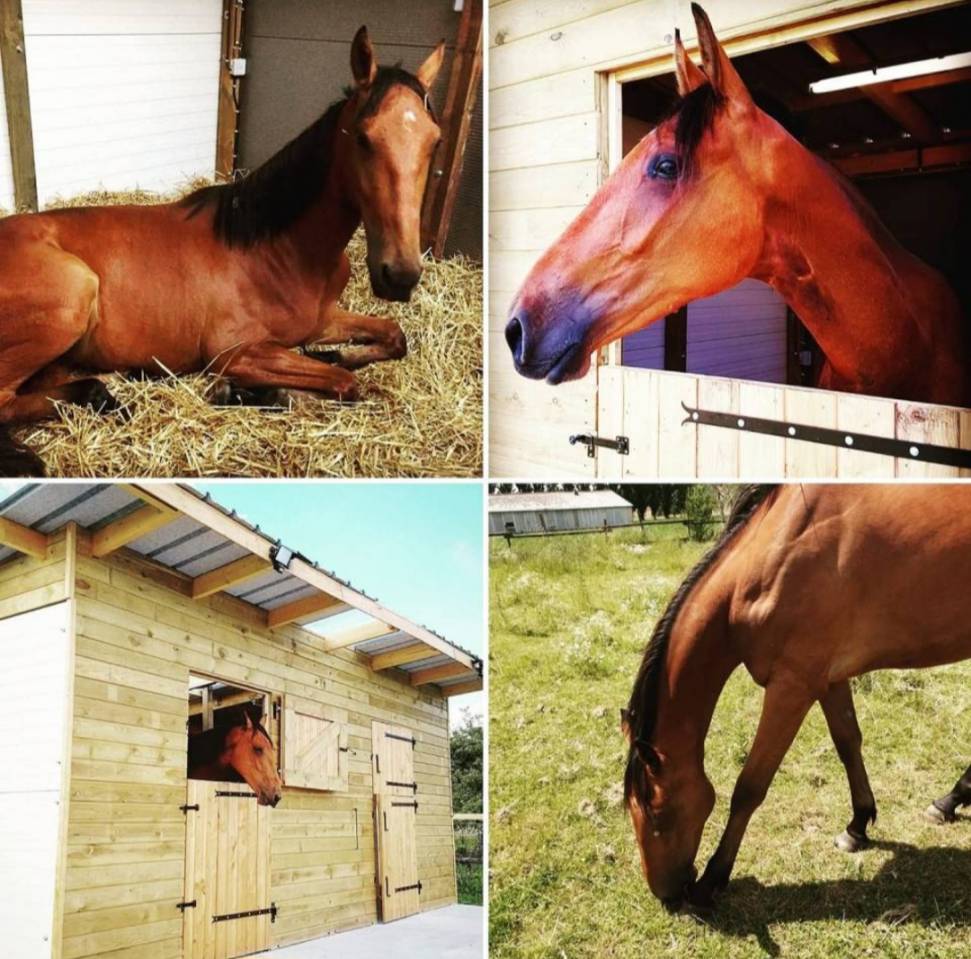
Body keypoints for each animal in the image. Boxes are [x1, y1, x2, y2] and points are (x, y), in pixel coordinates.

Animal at [0, 26, 445, 476]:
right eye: (364, 137)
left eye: (435, 142)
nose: (400, 276)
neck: (276, 251)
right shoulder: (235, 353)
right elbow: (345, 384)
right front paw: (259, 392)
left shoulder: (319, 320)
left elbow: (393, 336)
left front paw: (339, 354)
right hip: (75, 292)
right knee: (6, 403)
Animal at [621, 483, 971, 912]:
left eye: (657, 812)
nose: (667, 895)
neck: (780, 549)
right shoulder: (828, 679)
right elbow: (847, 743)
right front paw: (857, 826)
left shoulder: (792, 687)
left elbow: (750, 787)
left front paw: (713, 879)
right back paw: (950, 799)